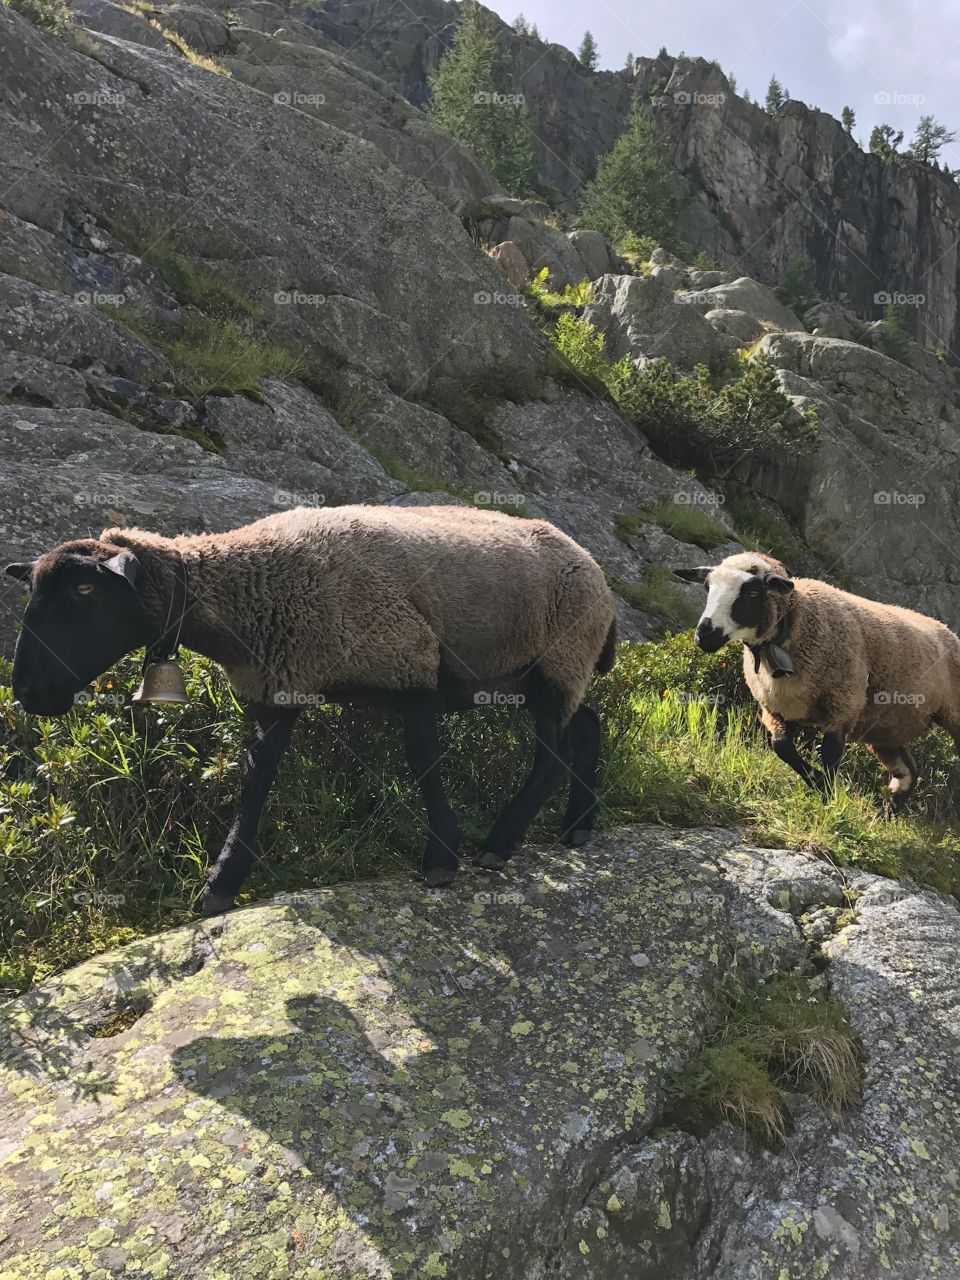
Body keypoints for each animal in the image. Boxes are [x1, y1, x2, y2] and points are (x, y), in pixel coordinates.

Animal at [5, 504, 617, 913]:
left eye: (85, 592)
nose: (27, 693)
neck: (251, 588)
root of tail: (597, 574)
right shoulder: (279, 685)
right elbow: (255, 781)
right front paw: (221, 884)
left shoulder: (410, 660)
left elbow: (423, 759)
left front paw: (442, 856)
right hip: (535, 671)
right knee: (586, 727)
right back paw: (578, 827)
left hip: (558, 656)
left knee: (552, 755)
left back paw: (501, 842)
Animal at [674, 551, 960, 806]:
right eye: (707, 587)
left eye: (752, 592)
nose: (704, 635)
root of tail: (946, 628)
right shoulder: (776, 710)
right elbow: (781, 747)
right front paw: (817, 781)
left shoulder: (843, 705)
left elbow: (830, 755)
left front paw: (828, 795)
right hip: (884, 727)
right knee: (907, 773)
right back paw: (886, 814)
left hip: (951, 712)